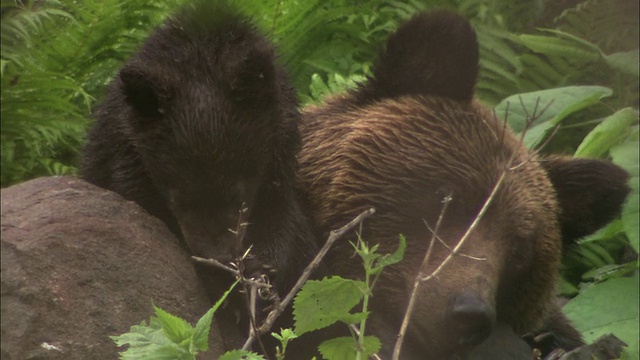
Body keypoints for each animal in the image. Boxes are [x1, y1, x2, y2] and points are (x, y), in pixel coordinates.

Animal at [80, 1, 318, 300]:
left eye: (240, 196)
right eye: (176, 198)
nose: (218, 259)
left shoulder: (278, 170)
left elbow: (288, 228)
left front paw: (261, 270)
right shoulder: (125, 162)